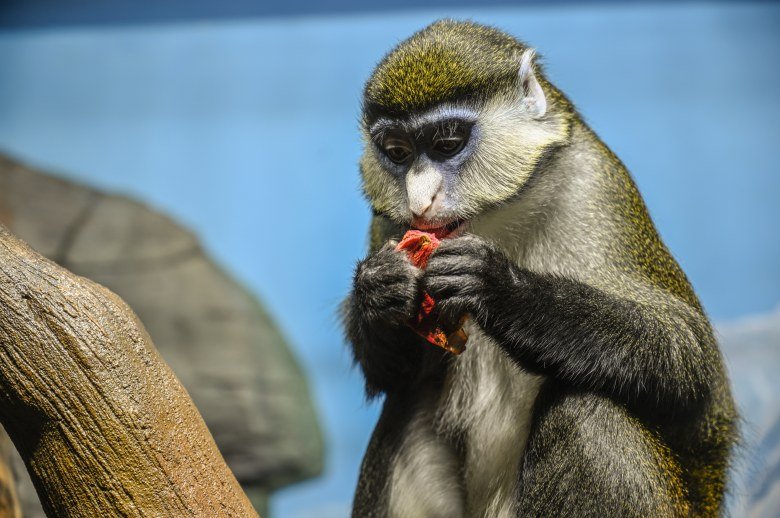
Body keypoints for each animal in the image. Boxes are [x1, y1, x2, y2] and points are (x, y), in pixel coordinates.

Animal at [343, 20, 737, 518]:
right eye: (396, 152)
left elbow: (688, 356)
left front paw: (502, 291)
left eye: (447, 144)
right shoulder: (389, 225)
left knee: (589, 412)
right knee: (407, 407)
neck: (500, 219)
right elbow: (394, 376)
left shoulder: (597, 186)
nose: (420, 201)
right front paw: (379, 289)